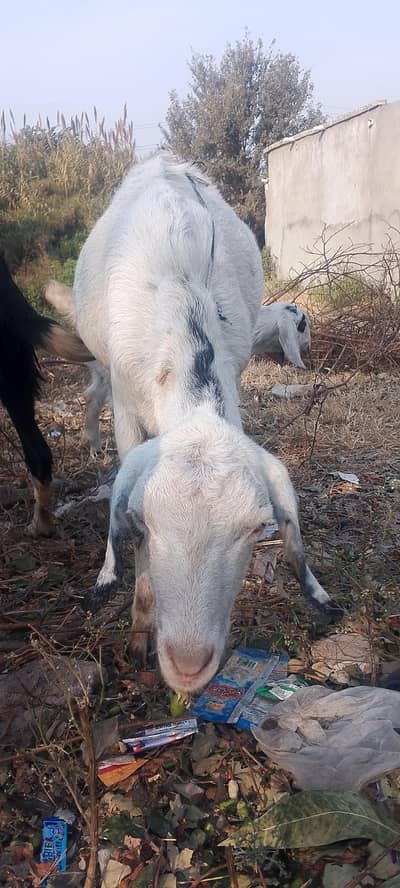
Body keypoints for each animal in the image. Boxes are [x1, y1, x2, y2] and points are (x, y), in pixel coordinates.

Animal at [47, 154, 342, 693]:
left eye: (258, 528)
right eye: (141, 520)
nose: (187, 665)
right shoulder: (127, 405)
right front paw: (139, 632)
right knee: (92, 395)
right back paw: (90, 441)